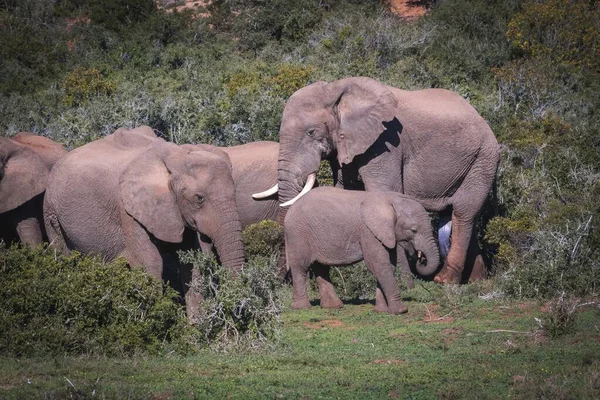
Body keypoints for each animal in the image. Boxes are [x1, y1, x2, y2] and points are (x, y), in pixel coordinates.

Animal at [43, 126, 246, 318]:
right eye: (199, 199)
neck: (174, 157)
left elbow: (192, 262)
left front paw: (196, 328)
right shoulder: (128, 211)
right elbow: (150, 262)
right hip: (50, 213)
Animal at [253, 77, 502, 284]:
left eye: (311, 132)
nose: (282, 279)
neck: (336, 89)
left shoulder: (386, 142)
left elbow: (384, 190)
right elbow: (345, 191)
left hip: (483, 159)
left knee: (464, 212)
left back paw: (445, 281)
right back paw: (477, 282)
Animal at [284, 186, 438, 314]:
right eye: (413, 230)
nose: (421, 258)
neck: (391, 199)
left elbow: (388, 266)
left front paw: (380, 311)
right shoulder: (368, 232)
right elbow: (378, 265)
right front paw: (400, 311)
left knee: (321, 268)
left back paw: (333, 306)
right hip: (298, 233)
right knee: (301, 267)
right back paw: (303, 308)